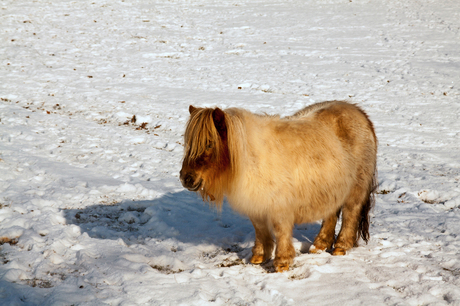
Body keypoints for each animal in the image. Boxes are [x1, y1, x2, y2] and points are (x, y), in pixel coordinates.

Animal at [180, 101, 378, 272]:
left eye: (209, 143)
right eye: (189, 144)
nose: (186, 178)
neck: (252, 158)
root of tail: (360, 113)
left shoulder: (280, 207)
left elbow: (281, 231)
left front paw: (282, 262)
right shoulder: (256, 205)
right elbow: (260, 230)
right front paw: (259, 256)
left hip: (354, 190)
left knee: (350, 214)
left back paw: (340, 247)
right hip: (333, 188)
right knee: (331, 214)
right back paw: (319, 245)